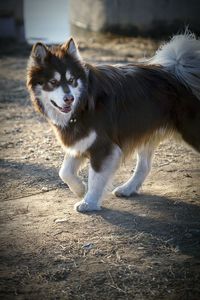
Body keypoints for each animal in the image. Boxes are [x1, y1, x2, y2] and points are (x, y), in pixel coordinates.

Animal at [27, 31, 200, 212]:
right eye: (53, 82)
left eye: (72, 80)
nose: (69, 99)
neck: (84, 102)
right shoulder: (81, 139)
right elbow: (64, 172)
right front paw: (80, 189)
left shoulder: (103, 146)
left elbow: (95, 177)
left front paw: (89, 202)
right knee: (144, 166)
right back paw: (128, 189)